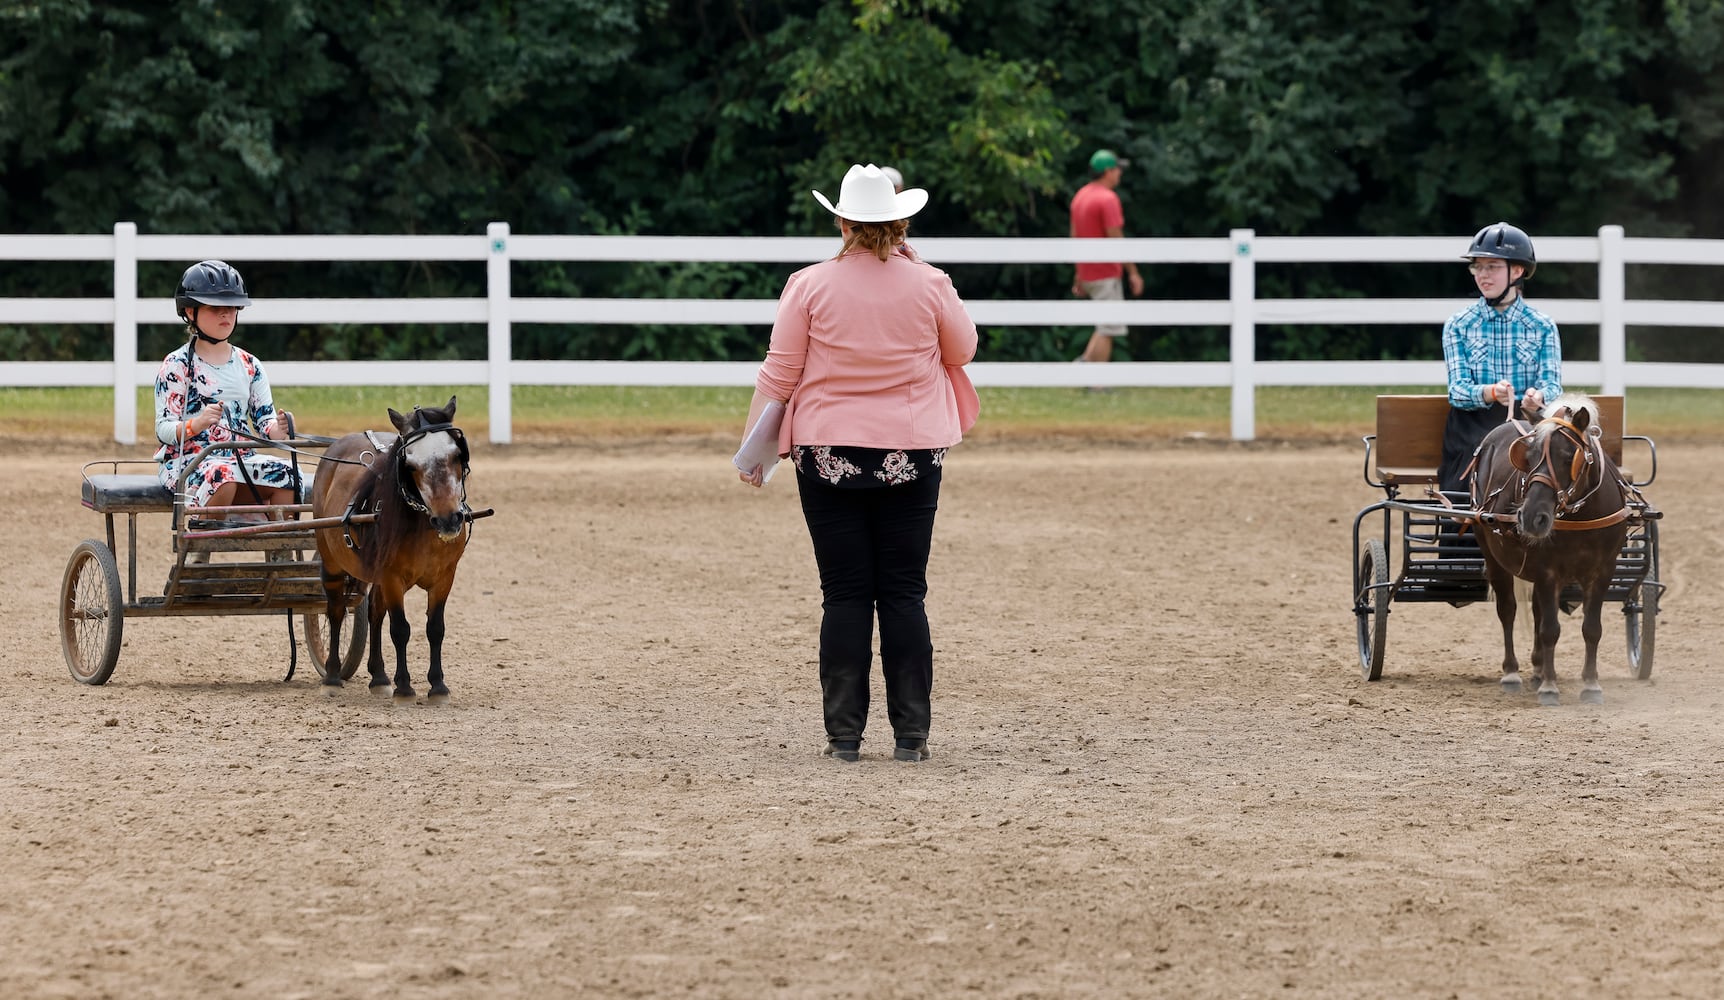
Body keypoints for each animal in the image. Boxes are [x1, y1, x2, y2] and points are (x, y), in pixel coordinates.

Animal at [313, 394, 475, 700]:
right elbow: (400, 628)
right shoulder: (392, 577)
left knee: (375, 612)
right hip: (331, 562)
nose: (448, 519)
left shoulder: (445, 577)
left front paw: (437, 685)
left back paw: (378, 676)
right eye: (410, 465)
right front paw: (404, 686)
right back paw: (332, 675)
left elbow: (435, 628)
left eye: (456, 455)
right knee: (336, 610)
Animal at [1468, 391, 1627, 703]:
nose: (1531, 517)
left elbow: (1591, 629)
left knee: (1538, 612)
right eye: (1527, 458)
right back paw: (1512, 673)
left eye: (1568, 458)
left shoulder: (1603, 571)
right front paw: (1550, 688)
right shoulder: (1547, 571)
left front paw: (1591, 684)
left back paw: (1539, 669)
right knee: (1507, 610)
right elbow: (1551, 630)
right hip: (1492, 556)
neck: (1581, 515)